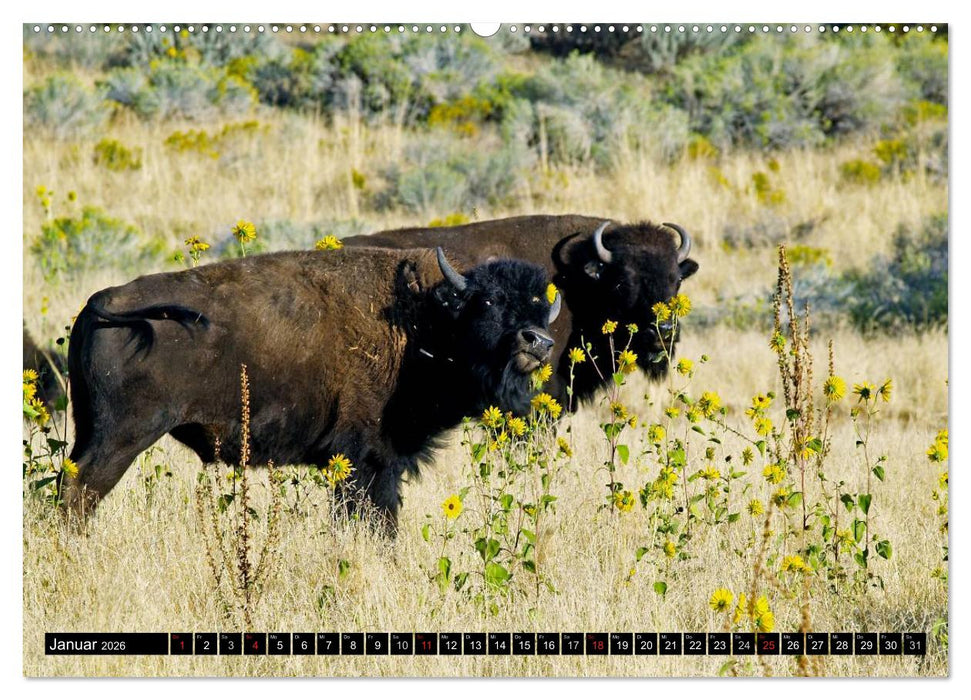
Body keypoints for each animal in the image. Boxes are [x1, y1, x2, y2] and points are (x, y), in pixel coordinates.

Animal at [65, 247, 560, 531]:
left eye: (540, 308)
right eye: (490, 300)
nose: (538, 341)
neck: (424, 318)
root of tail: (101, 300)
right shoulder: (366, 459)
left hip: (89, 429)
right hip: (122, 438)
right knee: (80, 491)